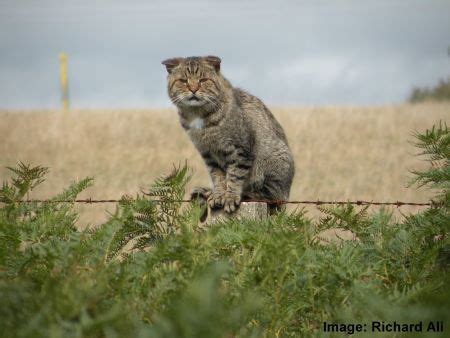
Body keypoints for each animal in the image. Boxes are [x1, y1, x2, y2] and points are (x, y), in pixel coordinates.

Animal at [163, 56, 296, 213]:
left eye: (203, 80)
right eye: (183, 81)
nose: (193, 89)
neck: (198, 115)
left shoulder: (239, 150)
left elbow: (235, 175)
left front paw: (230, 197)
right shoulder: (208, 154)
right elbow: (218, 177)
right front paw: (219, 195)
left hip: (275, 161)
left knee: (269, 195)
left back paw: (246, 194)